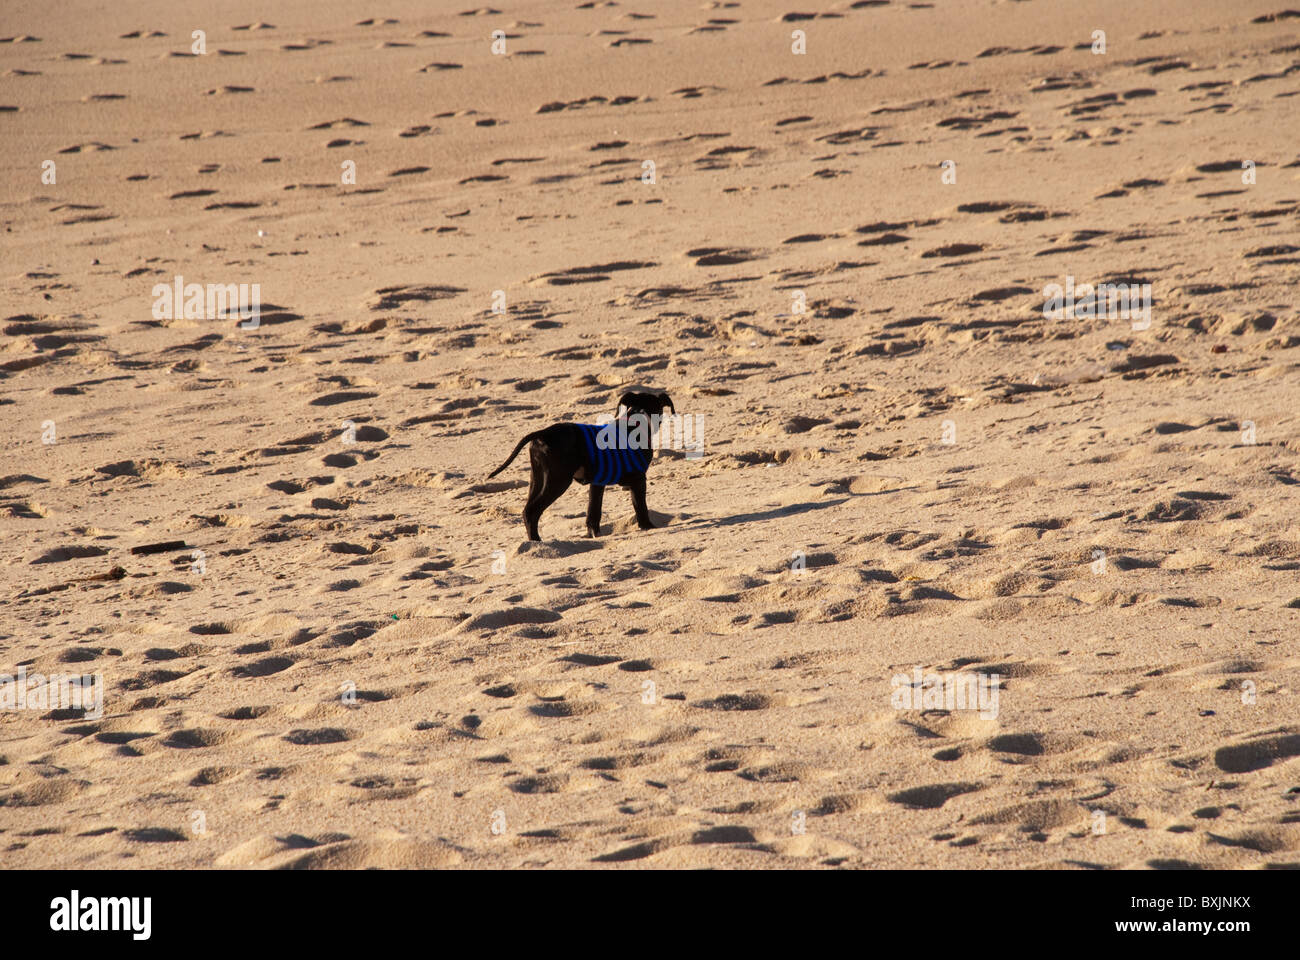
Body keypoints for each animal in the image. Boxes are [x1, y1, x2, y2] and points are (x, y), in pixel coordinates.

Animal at [486, 390, 676, 538]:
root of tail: (543, 433)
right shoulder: (638, 480)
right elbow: (640, 506)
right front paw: (648, 527)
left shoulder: (598, 484)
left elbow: (593, 513)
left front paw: (593, 535)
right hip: (557, 480)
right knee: (532, 511)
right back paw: (537, 542)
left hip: (538, 478)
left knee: (527, 510)